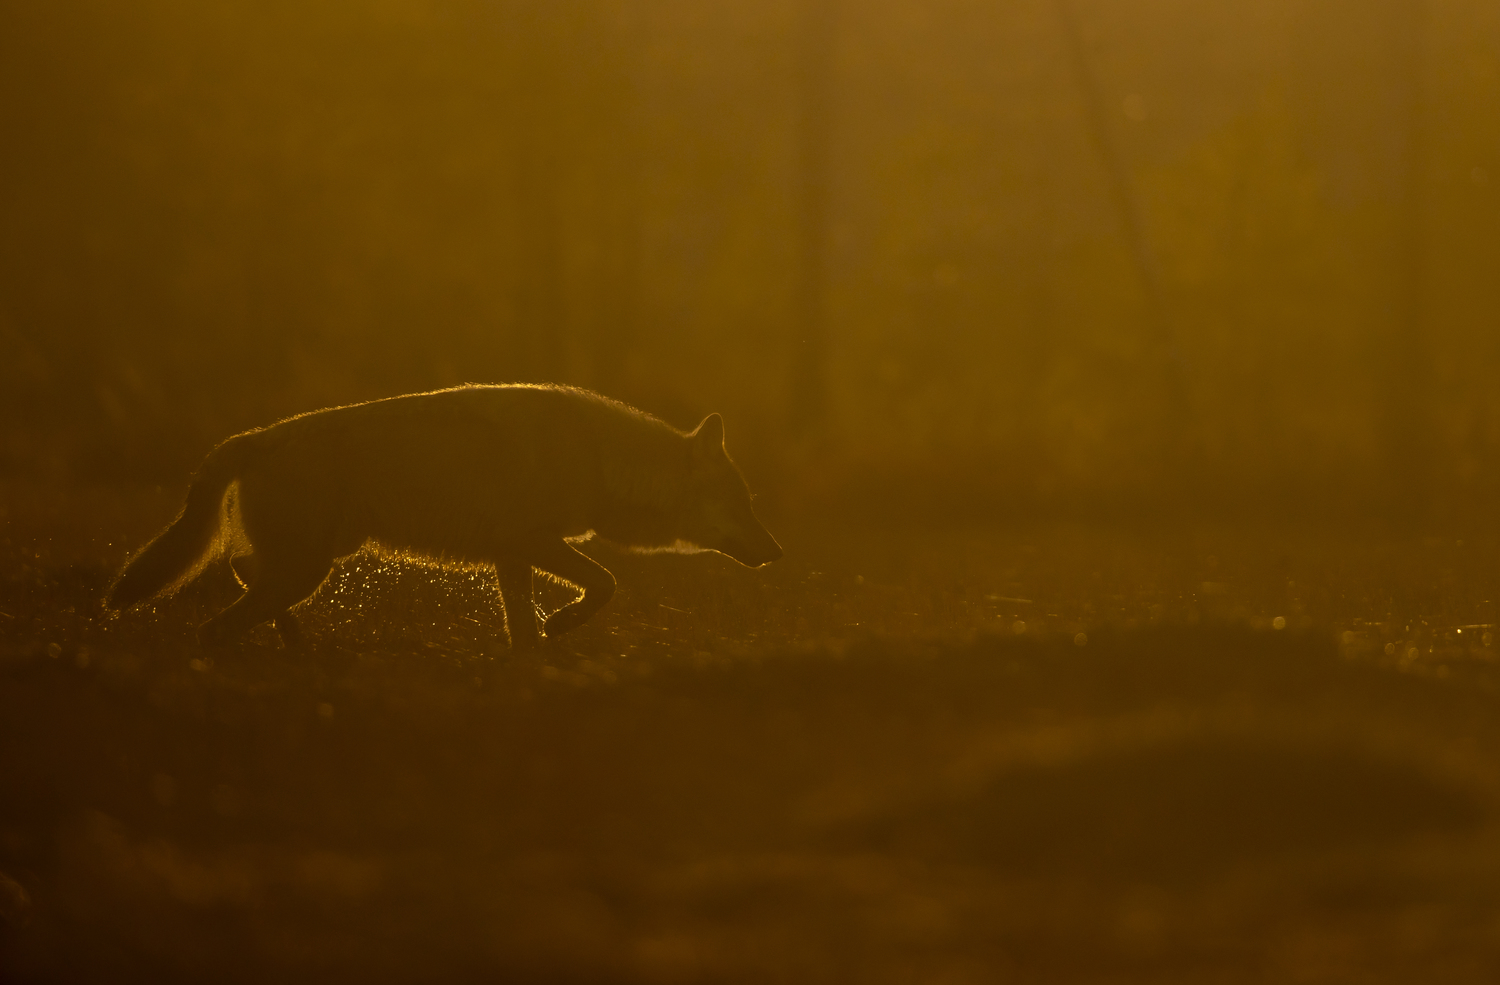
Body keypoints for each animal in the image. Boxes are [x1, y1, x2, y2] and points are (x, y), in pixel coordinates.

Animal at [105, 384, 782, 649]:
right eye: (743, 505)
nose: (778, 551)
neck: (597, 457)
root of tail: (256, 437)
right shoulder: (530, 541)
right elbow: (607, 583)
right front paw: (564, 625)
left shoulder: (513, 556)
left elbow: (523, 627)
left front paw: (536, 661)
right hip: (311, 565)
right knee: (218, 623)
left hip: (320, 560)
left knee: (245, 579)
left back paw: (300, 647)